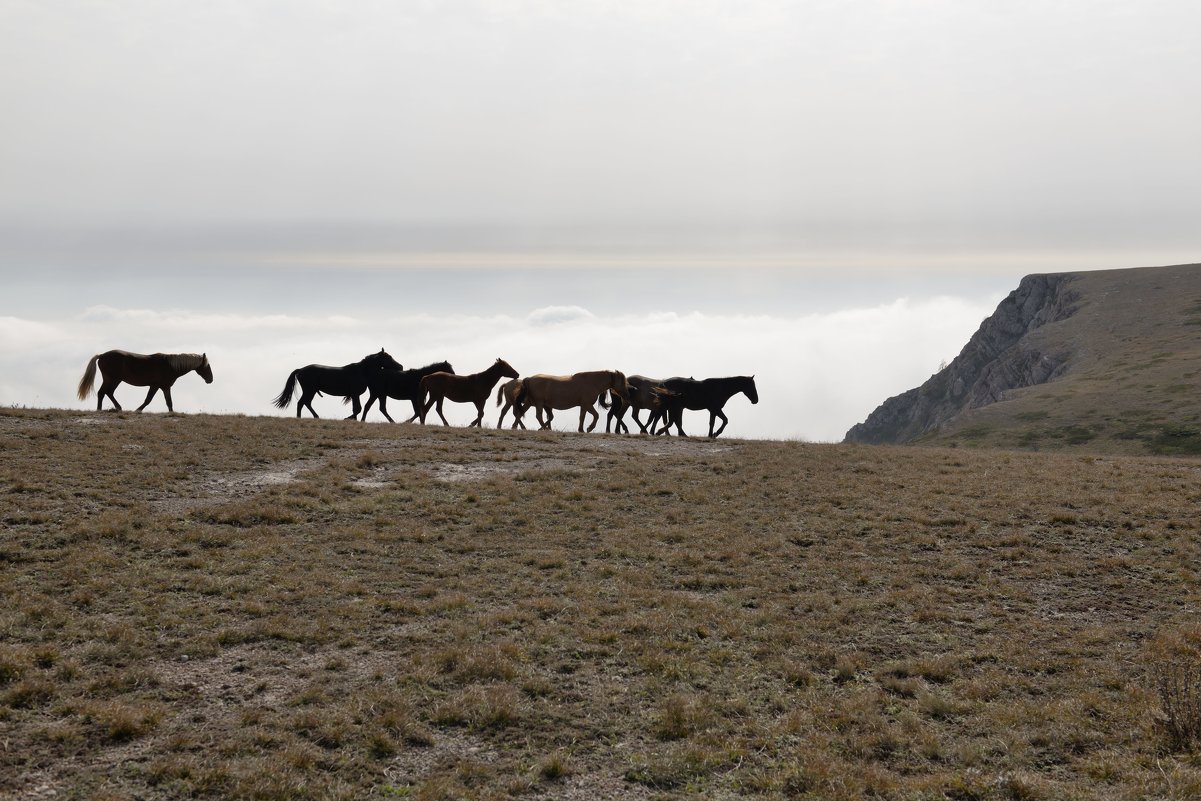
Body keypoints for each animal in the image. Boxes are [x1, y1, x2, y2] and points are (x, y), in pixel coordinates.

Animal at [76, 350, 213, 413]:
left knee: (108, 393)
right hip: (112, 379)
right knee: (102, 393)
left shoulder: (165, 387)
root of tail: (102, 355)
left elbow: (169, 402)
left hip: (116, 380)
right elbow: (148, 400)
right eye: (207, 366)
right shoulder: (155, 386)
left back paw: (117, 407)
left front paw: (171, 413)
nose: (210, 379)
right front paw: (138, 410)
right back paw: (100, 409)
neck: (169, 366)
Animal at [272, 348, 403, 420]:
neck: (361, 371)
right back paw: (300, 417)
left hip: (312, 391)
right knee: (301, 403)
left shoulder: (355, 395)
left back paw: (316, 416)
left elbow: (356, 409)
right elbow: (358, 409)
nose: (401, 366)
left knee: (307, 403)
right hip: (309, 390)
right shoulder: (355, 394)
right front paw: (348, 418)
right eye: (388, 357)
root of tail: (300, 370)